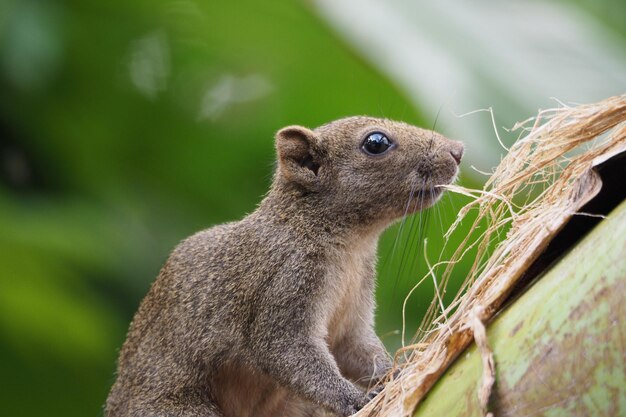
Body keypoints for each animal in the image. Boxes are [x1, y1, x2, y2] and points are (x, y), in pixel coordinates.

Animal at [105, 116, 460, 416]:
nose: (456, 150)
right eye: (375, 142)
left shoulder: (352, 315)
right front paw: (358, 399)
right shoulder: (285, 282)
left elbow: (359, 349)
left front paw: (398, 372)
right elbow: (286, 352)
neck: (352, 248)